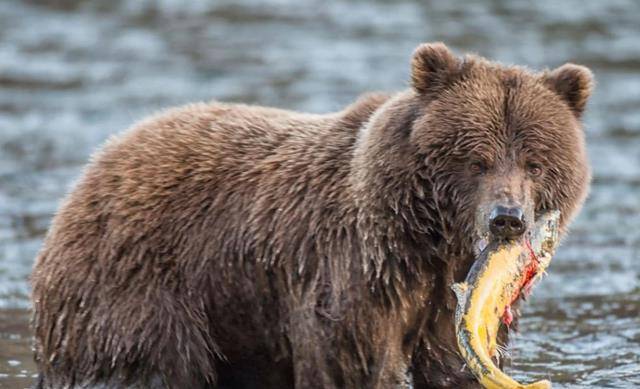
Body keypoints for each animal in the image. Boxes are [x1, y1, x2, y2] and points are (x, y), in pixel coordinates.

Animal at [28, 43, 592, 388]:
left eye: (535, 160)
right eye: (475, 158)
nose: (507, 218)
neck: (423, 240)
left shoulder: (442, 298)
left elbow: (454, 362)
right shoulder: (345, 266)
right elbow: (350, 354)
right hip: (141, 284)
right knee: (145, 359)